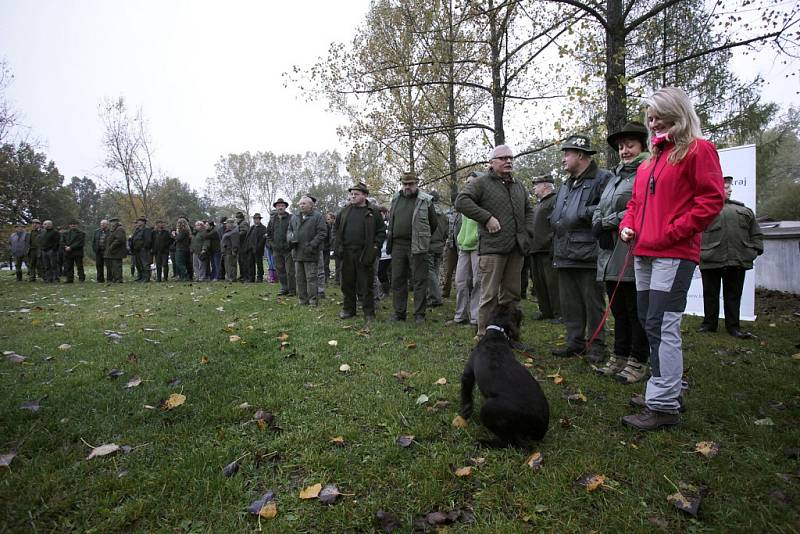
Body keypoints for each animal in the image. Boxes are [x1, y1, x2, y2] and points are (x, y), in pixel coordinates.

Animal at [462, 306, 552, 448]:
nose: (520, 308)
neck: (495, 336)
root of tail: (540, 429)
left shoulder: (468, 372)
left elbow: (466, 394)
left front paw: (465, 413)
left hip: (489, 409)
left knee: (510, 442)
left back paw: (486, 442)